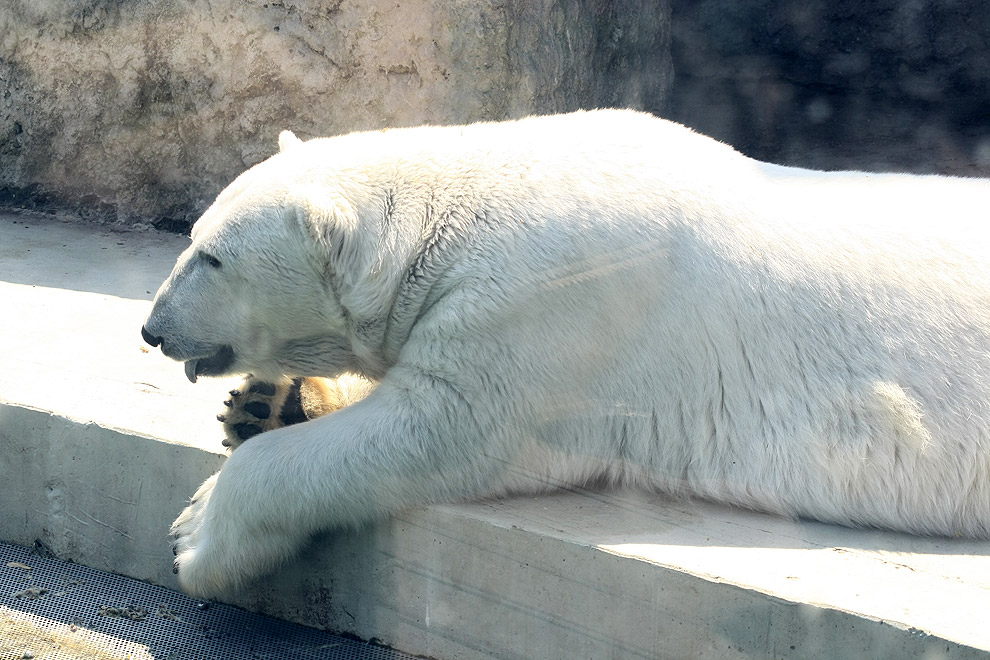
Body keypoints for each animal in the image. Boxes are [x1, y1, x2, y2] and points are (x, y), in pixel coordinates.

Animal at [140, 109, 990, 600]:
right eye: (194, 234)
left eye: (211, 257)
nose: (151, 328)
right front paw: (271, 402)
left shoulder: (545, 308)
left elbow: (439, 428)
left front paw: (194, 534)